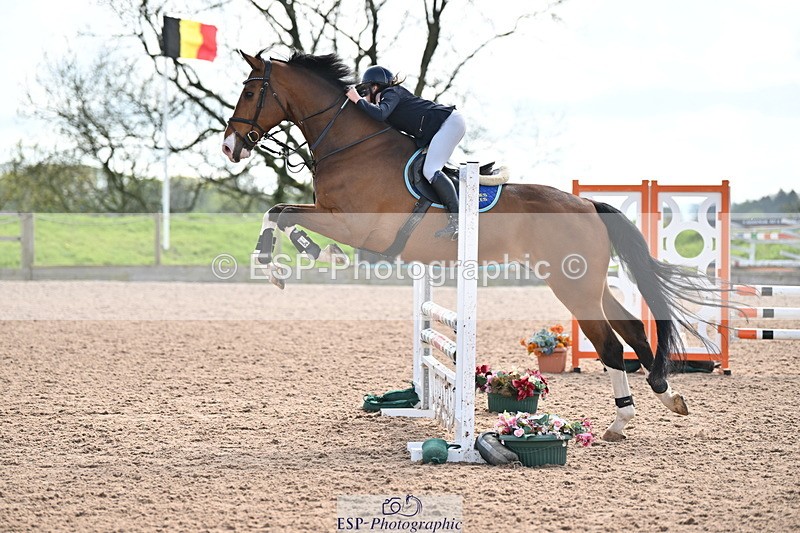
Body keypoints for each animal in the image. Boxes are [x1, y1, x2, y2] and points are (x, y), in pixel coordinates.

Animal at [222, 50, 708, 441]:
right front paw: (289, 258)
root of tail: (587, 203)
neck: (352, 144)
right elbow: (278, 210)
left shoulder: (355, 226)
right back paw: (668, 397)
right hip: (587, 282)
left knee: (609, 345)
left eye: (250, 92)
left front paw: (300, 257)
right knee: (633, 328)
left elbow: (285, 215)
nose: (229, 146)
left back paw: (621, 420)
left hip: (573, 286)